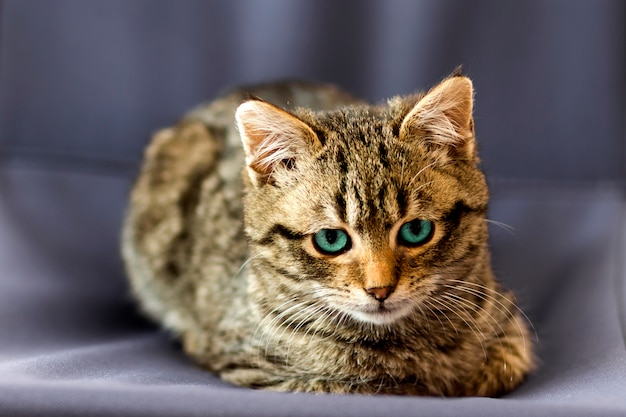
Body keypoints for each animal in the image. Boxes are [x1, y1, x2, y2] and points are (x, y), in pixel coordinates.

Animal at [120, 72, 532, 396]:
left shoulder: (509, 326)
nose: (380, 290)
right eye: (331, 240)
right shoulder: (248, 358)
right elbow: (366, 385)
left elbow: (495, 368)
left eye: (416, 230)